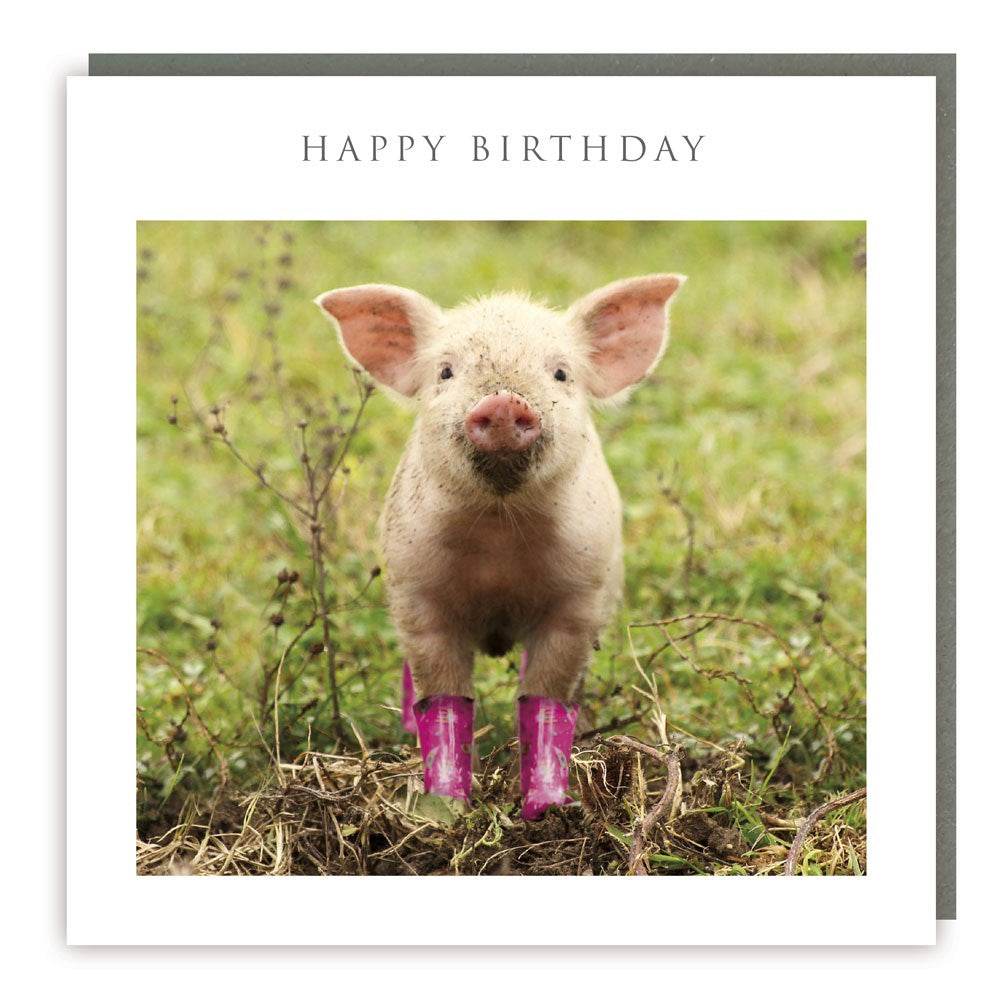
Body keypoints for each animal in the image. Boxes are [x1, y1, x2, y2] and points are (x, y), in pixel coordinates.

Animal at [315, 273, 685, 818]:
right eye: (446, 371)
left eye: (560, 373)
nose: (505, 402)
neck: (499, 538)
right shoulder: (416, 591)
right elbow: (443, 698)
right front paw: (444, 811)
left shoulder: (580, 598)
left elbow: (545, 697)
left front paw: (546, 811)